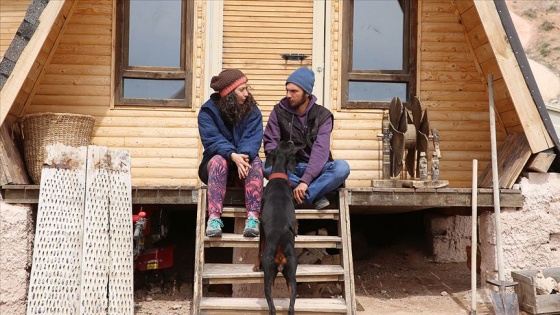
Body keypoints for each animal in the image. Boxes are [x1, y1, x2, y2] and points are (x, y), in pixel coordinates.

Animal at [253, 142, 298, 315]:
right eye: (283, 144)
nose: (291, 141)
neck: (279, 177)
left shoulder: (261, 226)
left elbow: (259, 248)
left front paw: (255, 267)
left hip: (268, 276)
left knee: (272, 307)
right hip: (292, 277)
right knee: (291, 307)